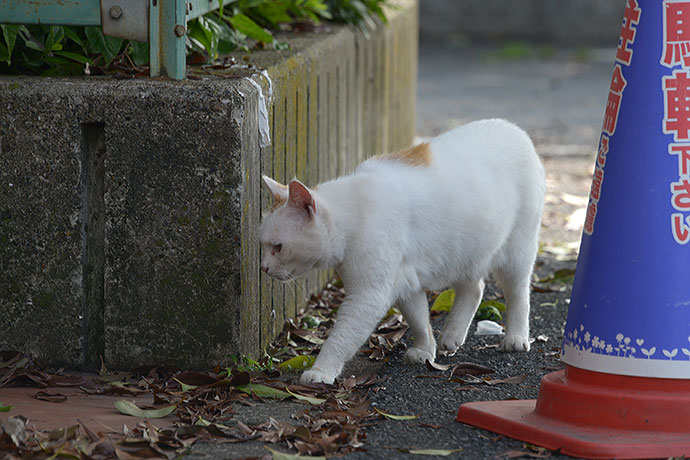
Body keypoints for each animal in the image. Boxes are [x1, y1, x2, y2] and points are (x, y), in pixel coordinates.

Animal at [258, 119, 544, 384]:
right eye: (264, 246)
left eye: (278, 247)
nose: (263, 268)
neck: (354, 213)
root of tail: (513, 127)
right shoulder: (405, 282)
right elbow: (418, 319)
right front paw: (425, 350)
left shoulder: (368, 296)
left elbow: (340, 338)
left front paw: (320, 371)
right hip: (465, 252)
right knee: (474, 289)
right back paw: (451, 335)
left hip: (516, 252)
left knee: (518, 293)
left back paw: (516, 337)